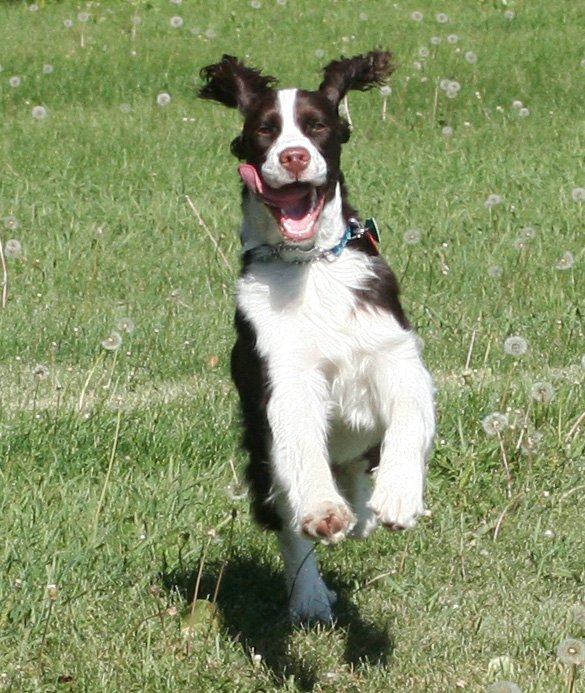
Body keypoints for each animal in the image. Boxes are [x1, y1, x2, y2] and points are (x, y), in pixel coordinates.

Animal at [200, 50, 434, 620]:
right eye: (265, 128)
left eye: (317, 126)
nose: (294, 157)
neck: (312, 266)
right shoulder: (284, 376)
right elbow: (301, 443)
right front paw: (324, 512)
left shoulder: (394, 353)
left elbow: (409, 414)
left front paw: (399, 495)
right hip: (261, 459)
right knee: (289, 522)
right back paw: (311, 595)